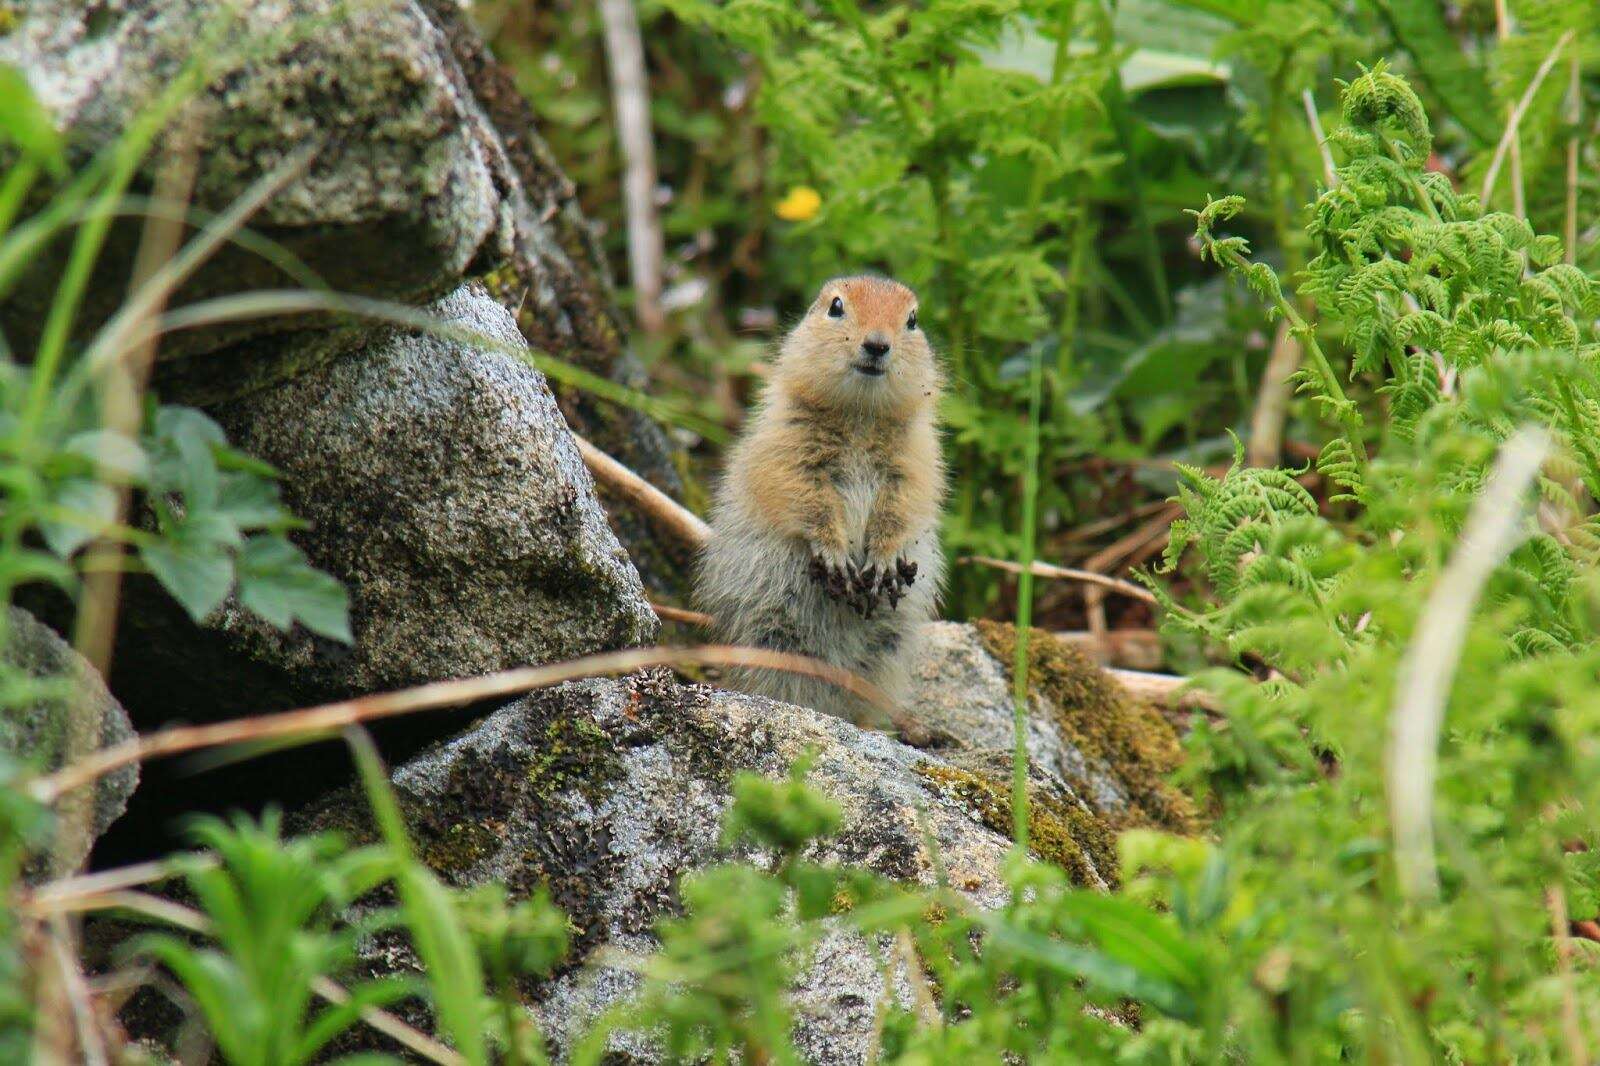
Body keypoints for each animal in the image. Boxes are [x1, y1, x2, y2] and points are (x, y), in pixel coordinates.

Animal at [694, 273, 940, 723]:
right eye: (836, 307)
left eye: (912, 320)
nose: (877, 344)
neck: (860, 416)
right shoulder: (788, 448)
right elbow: (805, 498)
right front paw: (836, 555)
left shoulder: (917, 462)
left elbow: (903, 507)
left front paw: (883, 560)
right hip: (771, 637)